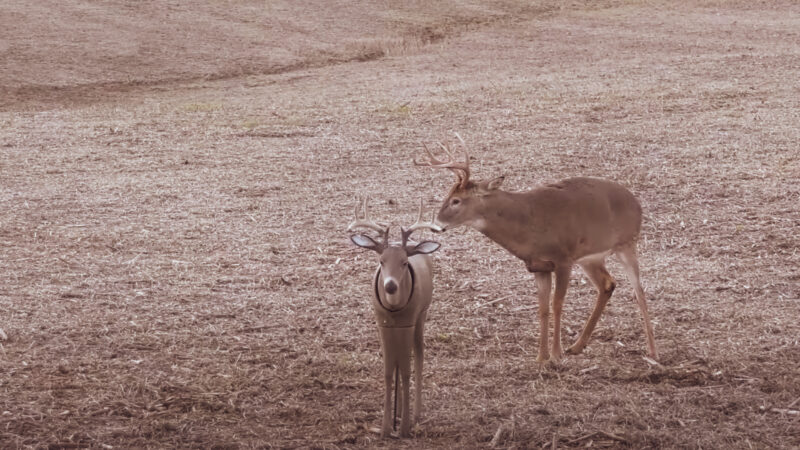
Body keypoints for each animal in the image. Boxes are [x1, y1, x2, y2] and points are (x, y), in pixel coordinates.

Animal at [346, 197, 440, 436]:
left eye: (404, 263)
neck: (394, 309)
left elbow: (406, 371)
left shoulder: (408, 320)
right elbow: (389, 371)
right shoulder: (382, 322)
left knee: (419, 353)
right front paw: (386, 428)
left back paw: (415, 415)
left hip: (422, 314)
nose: (389, 286)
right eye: (381, 261)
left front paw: (404, 427)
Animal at [416, 134, 660, 362]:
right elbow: (542, 309)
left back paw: (652, 352)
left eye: (456, 200)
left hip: (627, 243)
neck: (529, 225)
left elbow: (557, 303)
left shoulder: (563, 259)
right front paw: (541, 358)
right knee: (608, 284)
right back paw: (577, 346)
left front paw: (556, 354)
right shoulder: (539, 266)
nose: (436, 225)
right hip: (591, 257)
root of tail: (636, 202)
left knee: (639, 292)